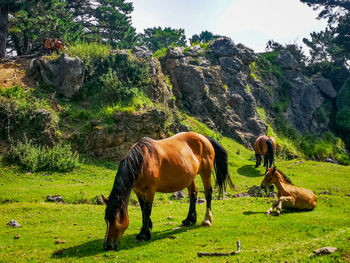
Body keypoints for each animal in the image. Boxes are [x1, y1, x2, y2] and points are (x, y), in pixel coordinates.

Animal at [101, 132, 234, 252]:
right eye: (106, 220)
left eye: (116, 219)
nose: (107, 246)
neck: (143, 161)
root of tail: (204, 137)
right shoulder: (138, 191)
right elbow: (143, 209)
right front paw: (147, 228)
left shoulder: (150, 190)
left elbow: (147, 210)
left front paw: (143, 234)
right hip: (189, 178)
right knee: (193, 194)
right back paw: (189, 220)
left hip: (205, 173)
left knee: (208, 194)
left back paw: (207, 220)